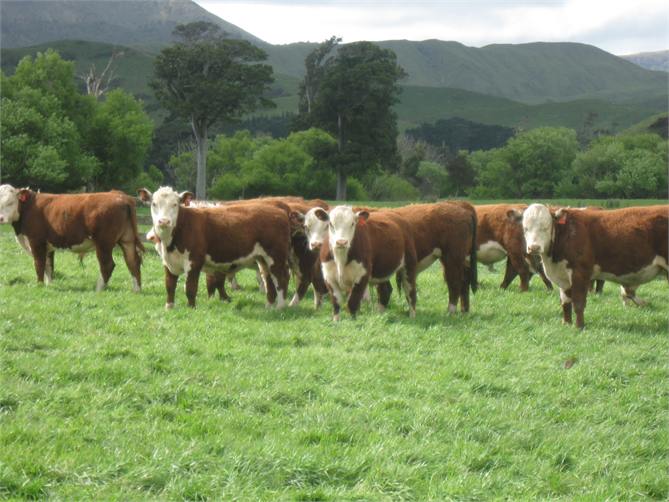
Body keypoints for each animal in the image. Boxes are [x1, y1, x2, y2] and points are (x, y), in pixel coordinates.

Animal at [0, 184, 143, 291]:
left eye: (10, 202)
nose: (1, 218)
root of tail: (120, 195)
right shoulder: (48, 245)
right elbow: (49, 266)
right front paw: (49, 285)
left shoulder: (36, 241)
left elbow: (39, 264)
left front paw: (39, 285)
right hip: (127, 239)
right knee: (133, 261)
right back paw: (136, 289)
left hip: (104, 243)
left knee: (107, 264)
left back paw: (98, 289)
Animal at [138, 187, 291, 309]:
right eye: (154, 204)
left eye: (175, 204)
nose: (164, 221)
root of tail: (279, 211)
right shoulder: (168, 262)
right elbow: (169, 285)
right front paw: (169, 307)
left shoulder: (194, 261)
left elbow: (191, 287)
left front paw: (191, 308)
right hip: (262, 259)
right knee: (269, 280)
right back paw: (269, 306)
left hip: (276, 256)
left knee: (282, 278)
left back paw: (280, 307)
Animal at [513, 203, 668, 328]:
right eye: (525, 228)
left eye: (545, 227)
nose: (534, 247)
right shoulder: (563, 276)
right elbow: (565, 301)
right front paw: (566, 323)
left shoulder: (580, 272)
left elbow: (578, 302)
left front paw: (579, 326)